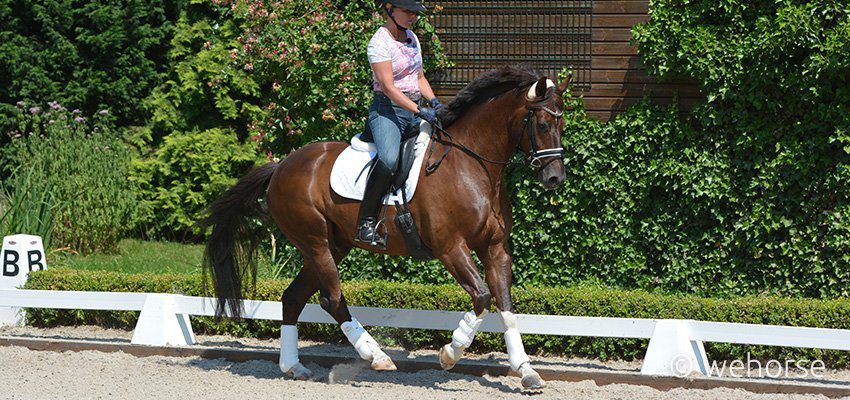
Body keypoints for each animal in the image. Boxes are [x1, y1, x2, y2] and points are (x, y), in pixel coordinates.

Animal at [202, 64, 568, 390]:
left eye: (562, 123)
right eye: (543, 123)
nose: (555, 178)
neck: (473, 164)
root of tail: (281, 166)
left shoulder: (495, 248)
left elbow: (505, 306)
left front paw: (526, 371)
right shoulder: (451, 248)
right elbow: (481, 298)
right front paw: (450, 353)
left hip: (332, 245)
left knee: (293, 297)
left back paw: (294, 367)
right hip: (315, 242)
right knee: (331, 299)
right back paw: (376, 356)